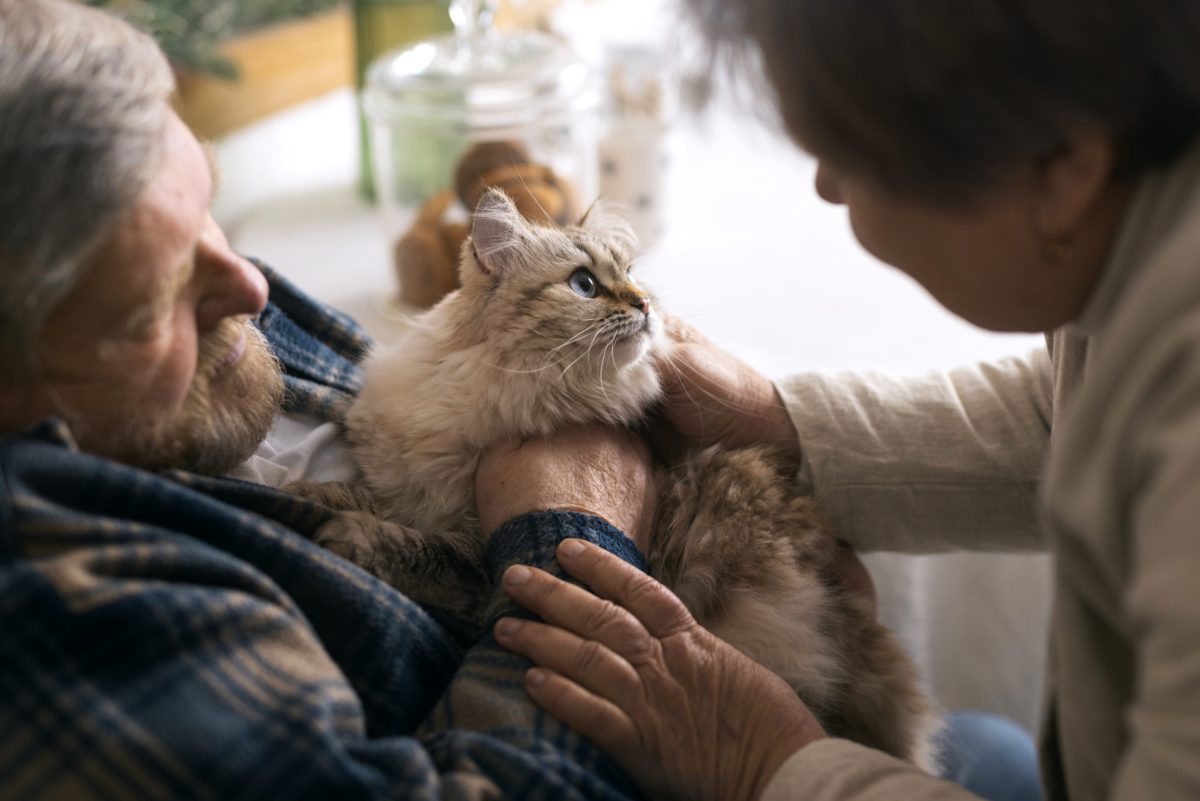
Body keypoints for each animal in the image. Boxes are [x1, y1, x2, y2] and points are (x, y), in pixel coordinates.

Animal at [304, 188, 940, 767]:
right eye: (584, 285)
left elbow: (418, 547)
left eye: (632, 276)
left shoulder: (476, 559)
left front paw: (337, 533)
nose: (646, 305)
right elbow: (361, 494)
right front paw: (304, 494)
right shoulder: (404, 484)